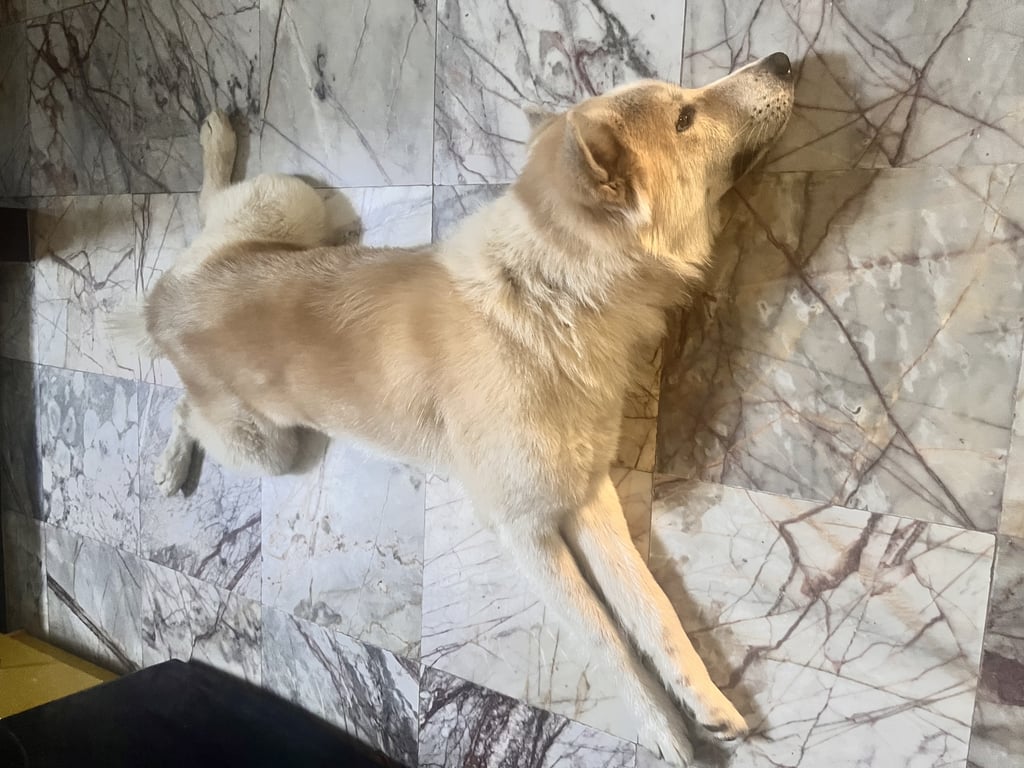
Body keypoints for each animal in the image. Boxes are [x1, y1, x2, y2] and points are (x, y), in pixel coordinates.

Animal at [118, 52, 794, 765]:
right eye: (685, 118)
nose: (782, 61)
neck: (551, 295)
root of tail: (163, 309)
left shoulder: (588, 494)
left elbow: (652, 606)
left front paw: (706, 701)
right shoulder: (525, 529)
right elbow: (604, 638)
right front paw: (662, 728)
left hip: (286, 214)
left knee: (203, 261)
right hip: (270, 437)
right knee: (189, 394)